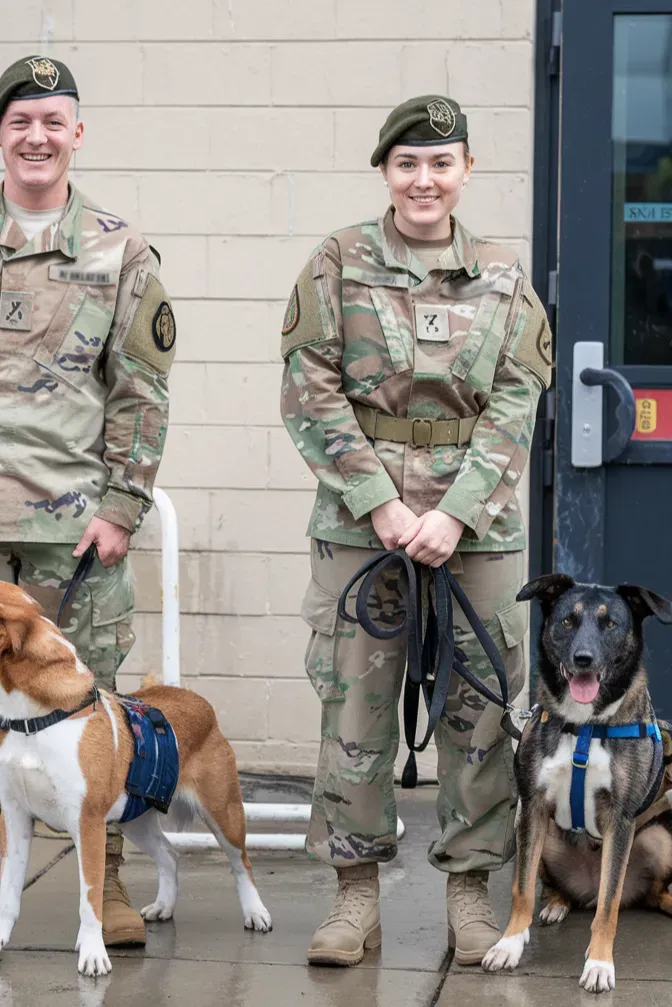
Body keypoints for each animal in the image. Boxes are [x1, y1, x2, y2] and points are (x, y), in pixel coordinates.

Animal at [0, 584, 272, 974]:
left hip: (224, 813)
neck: (35, 720)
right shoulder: (15, 819)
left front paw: (93, 952)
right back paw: (164, 906)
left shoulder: (88, 824)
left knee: (241, 864)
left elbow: (90, 898)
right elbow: (8, 893)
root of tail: (195, 698)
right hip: (135, 821)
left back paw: (255, 912)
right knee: (170, 856)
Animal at [485, 576, 672, 990]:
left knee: (639, 894)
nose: (583, 659)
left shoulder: (621, 820)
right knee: (555, 887)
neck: (584, 726)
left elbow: (608, 905)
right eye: (567, 621)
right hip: (541, 839)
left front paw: (600, 963)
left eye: (611, 624)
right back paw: (557, 904)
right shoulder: (533, 808)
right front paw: (509, 943)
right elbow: (522, 889)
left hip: (660, 838)